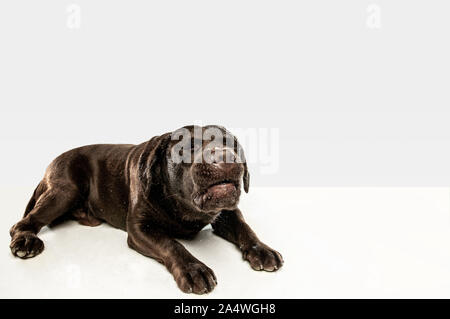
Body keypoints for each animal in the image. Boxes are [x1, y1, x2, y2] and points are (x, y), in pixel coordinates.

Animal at [9, 125, 282, 296]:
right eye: (187, 147)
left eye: (230, 144)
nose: (226, 157)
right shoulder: (141, 229)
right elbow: (171, 244)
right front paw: (194, 269)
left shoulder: (226, 213)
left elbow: (246, 229)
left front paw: (262, 250)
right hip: (65, 191)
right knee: (23, 223)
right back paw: (26, 241)